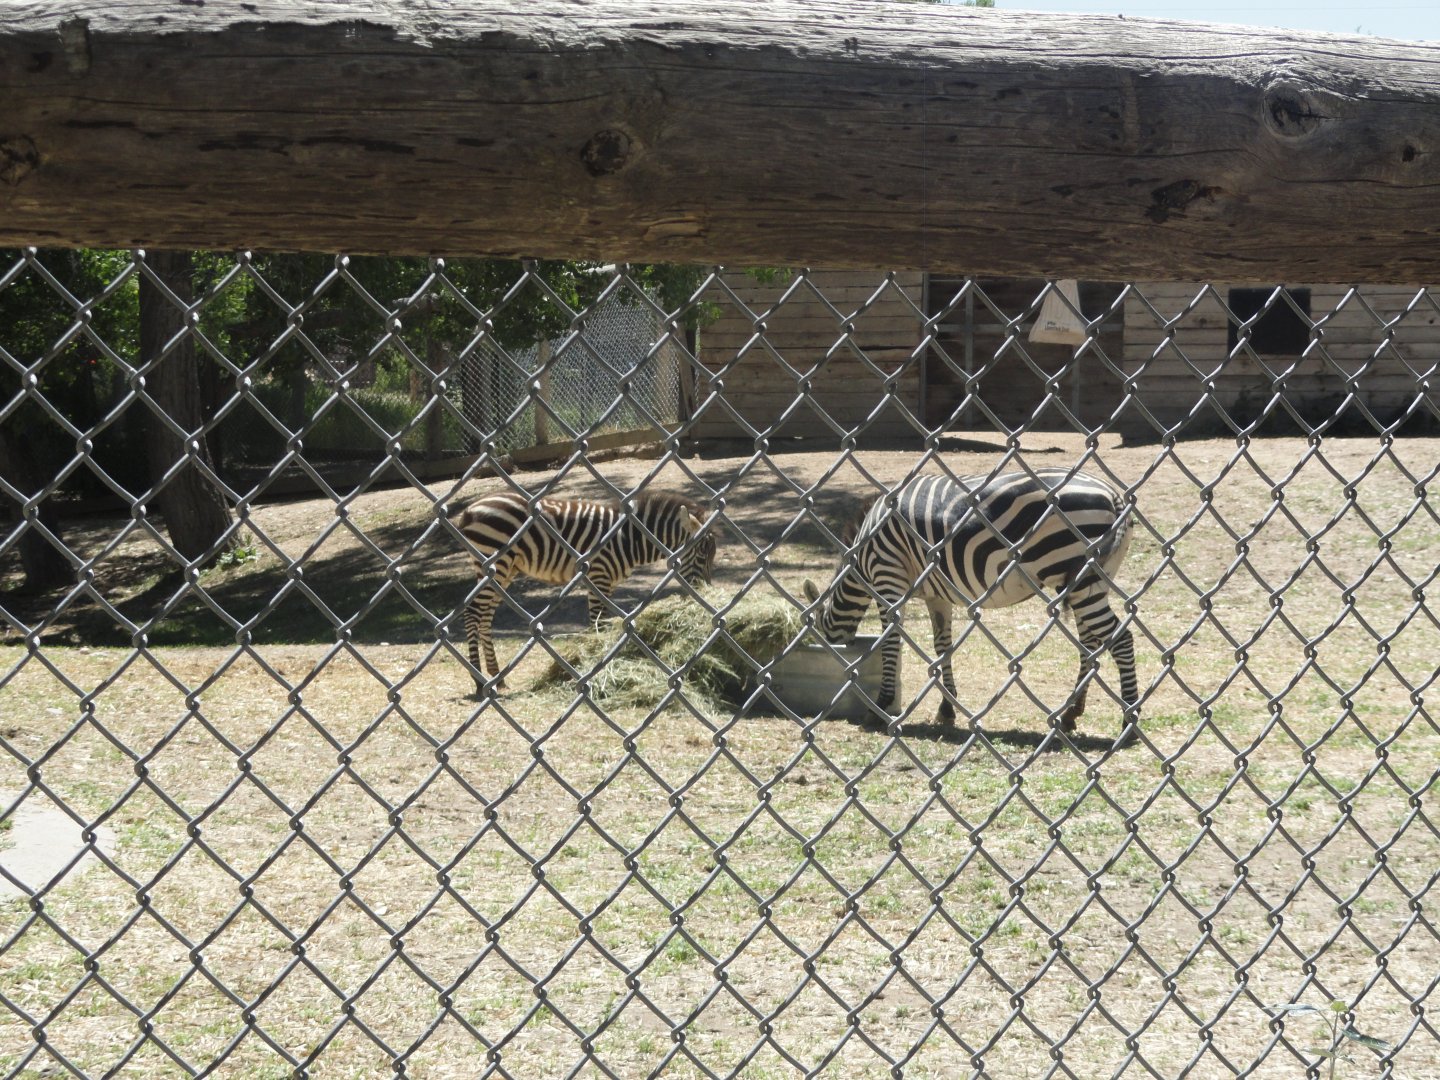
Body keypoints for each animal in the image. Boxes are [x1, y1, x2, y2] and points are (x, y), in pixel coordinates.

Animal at [454, 489, 716, 691]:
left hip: (504, 570)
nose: (704, 593)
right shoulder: (598, 575)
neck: (628, 539)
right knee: (472, 614)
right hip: (494, 562)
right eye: (702, 554)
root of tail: (471, 509)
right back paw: (479, 680)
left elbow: (605, 622)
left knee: (485, 617)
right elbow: (597, 622)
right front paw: (594, 663)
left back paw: (496, 675)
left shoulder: (608, 583)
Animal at [801, 468, 1138, 736]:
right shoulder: (936, 594)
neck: (861, 557)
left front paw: (880, 707)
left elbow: (890, 643)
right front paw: (947, 709)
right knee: (1091, 644)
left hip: (1076, 571)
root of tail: (1112, 495)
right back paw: (1070, 714)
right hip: (1091, 578)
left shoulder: (888, 577)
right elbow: (942, 646)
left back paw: (1129, 722)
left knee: (1121, 640)